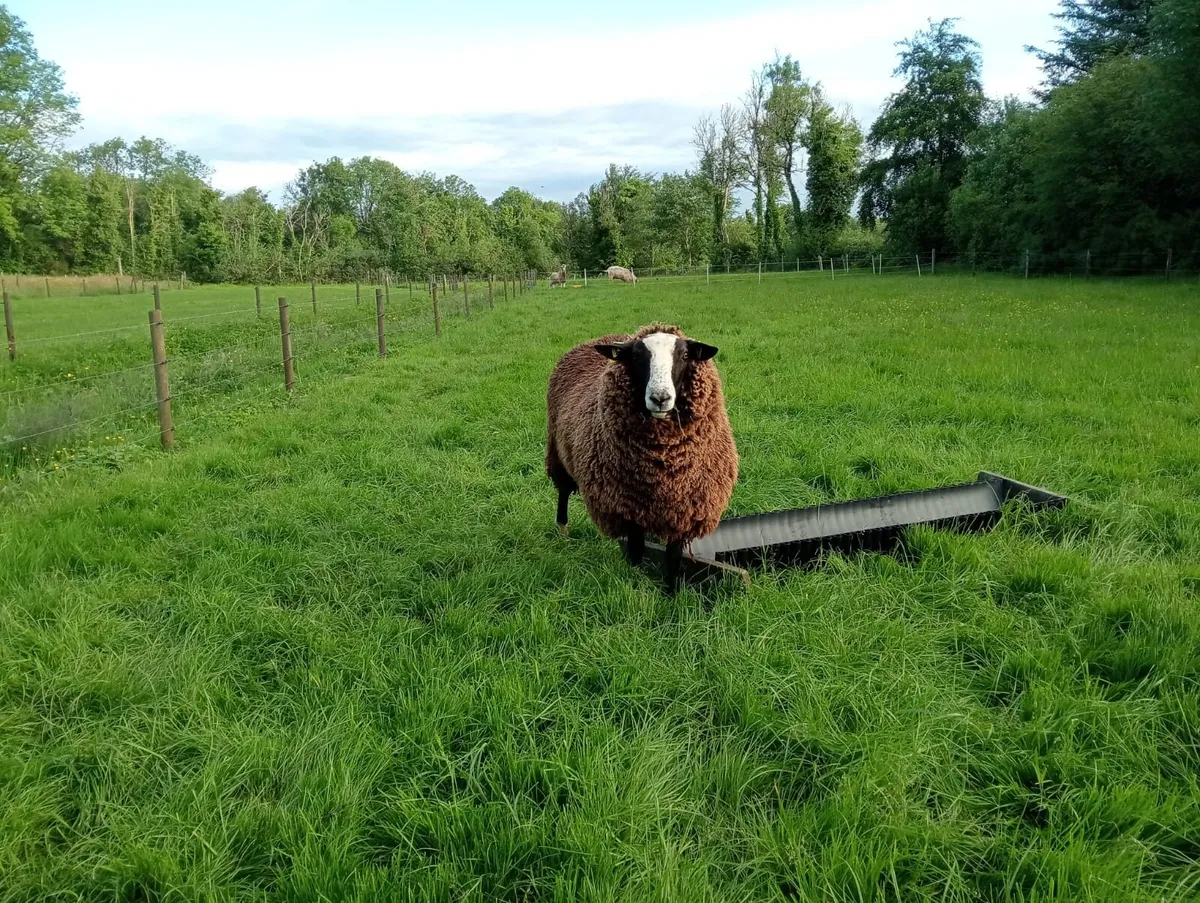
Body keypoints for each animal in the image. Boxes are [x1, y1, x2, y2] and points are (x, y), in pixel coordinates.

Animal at [545, 323, 738, 594]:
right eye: (636, 357)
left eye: (685, 355)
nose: (660, 398)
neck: (665, 462)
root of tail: (600, 339)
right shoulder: (628, 508)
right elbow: (637, 552)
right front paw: (635, 581)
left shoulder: (684, 509)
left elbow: (674, 557)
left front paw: (671, 594)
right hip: (557, 450)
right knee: (563, 490)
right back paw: (562, 528)